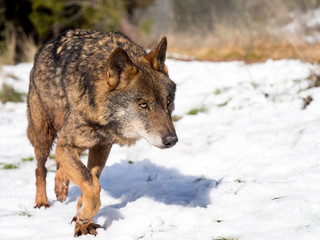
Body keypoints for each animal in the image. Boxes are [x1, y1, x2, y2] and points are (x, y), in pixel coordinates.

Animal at [26, 29, 178, 236]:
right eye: (143, 105)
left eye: (168, 102)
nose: (172, 140)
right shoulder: (67, 144)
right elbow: (91, 184)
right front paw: (84, 215)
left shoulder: (102, 146)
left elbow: (91, 180)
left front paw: (83, 221)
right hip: (44, 136)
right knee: (40, 169)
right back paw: (42, 202)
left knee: (60, 165)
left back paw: (61, 186)